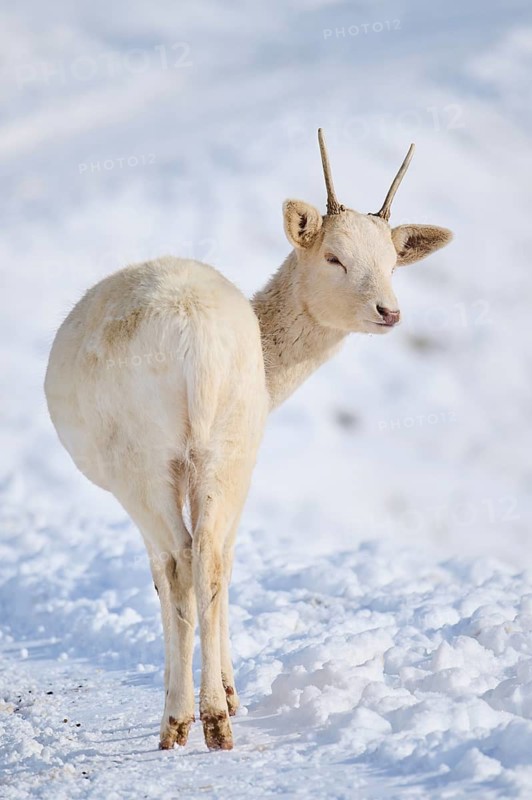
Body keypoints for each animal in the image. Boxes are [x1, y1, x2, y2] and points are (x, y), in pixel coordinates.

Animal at [44, 130, 452, 752]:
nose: (389, 311)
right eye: (334, 257)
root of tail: (195, 339)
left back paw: (182, 720)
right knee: (210, 557)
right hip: (227, 444)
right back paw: (216, 716)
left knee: (182, 561)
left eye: (391, 263)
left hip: (144, 461)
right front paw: (233, 694)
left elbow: (168, 574)